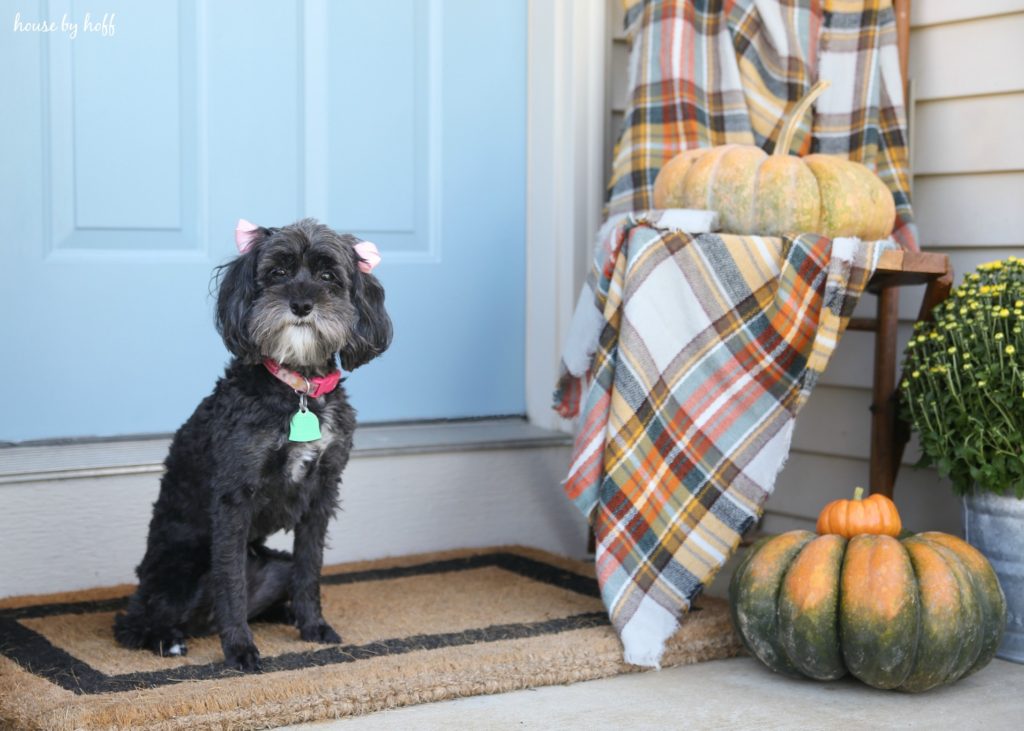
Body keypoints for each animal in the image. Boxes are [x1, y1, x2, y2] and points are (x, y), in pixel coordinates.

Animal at [112, 213, 391, 667]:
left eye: (328, 276)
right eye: (277, 273)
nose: (301, 305)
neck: (298, 391)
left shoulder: (323, 491)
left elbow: (311, 566)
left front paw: (313, 626)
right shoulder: (234, 494)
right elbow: (231, 580)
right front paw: (240, 648)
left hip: (275, 565)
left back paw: (284, 613)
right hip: (180, 570)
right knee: (135, 619)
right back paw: (167, 637)